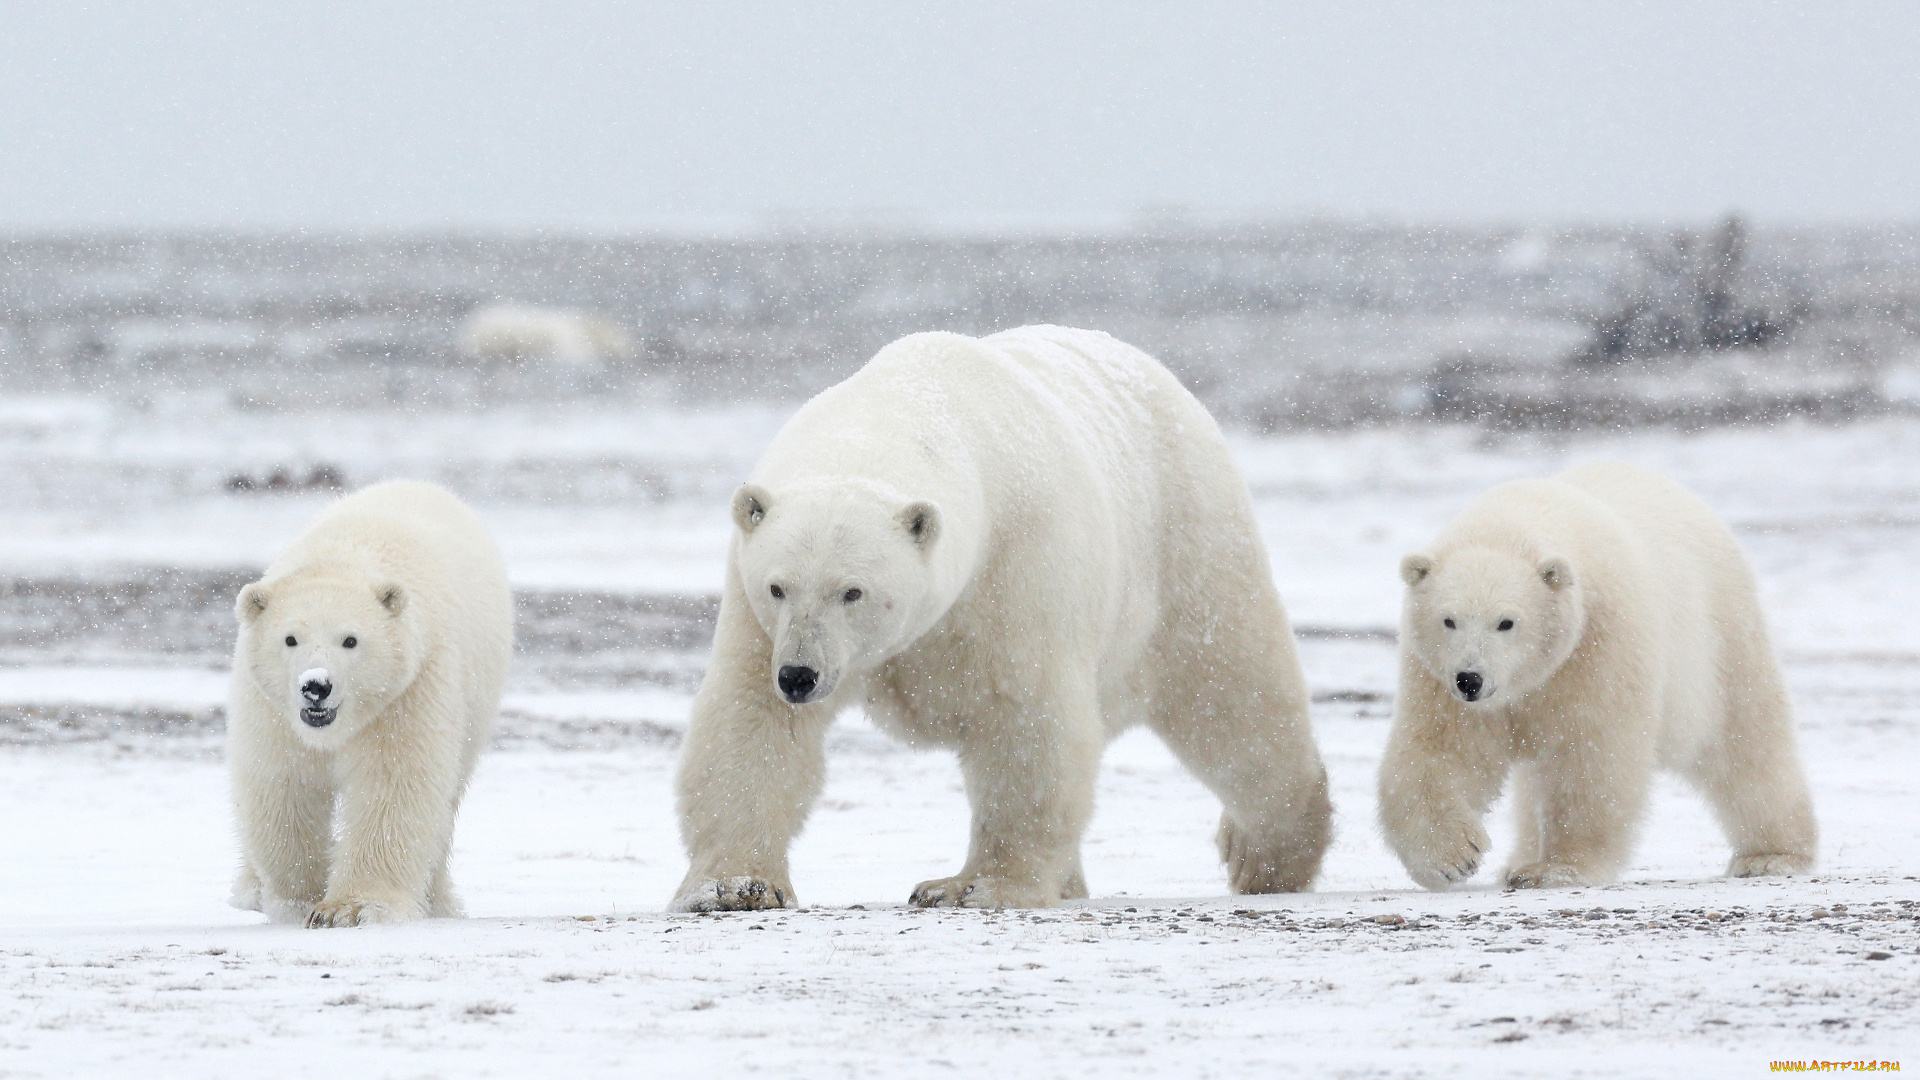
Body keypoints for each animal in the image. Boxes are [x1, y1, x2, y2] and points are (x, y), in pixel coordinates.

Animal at [226, 480, 510, 926]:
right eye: (290, 638)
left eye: (351, 640)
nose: (316, 686)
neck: (344, 557)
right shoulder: (271, 708)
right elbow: (283, 781)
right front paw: (299, 900)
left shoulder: (409, 688)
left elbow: (393, 782)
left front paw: (350, 908)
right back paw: (250, 890)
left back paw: (437, 902)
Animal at [675, 322, 1336, 903]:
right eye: (778, 587)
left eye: (852, 591)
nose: (800, 676)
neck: (903, 410)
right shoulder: (755, 616)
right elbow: (752, 721)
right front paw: (735, 886)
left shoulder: (1017, 565)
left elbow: (1025, 718)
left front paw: (969, 887)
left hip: (1185, 543)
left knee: (1233, 698)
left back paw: (1265, 856)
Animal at [1382, 457, 1812, 887]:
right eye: (1448, 620)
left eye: (1506, 622)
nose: (1470, 679)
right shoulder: (1438, 678)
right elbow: (1441, 750)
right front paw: (1452, 857)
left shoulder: (1599, 645)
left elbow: (1591, 756)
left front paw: (1559, 867)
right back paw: (1519, 860)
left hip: (1719, 638)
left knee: (1744, 741)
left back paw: (1770, 855)